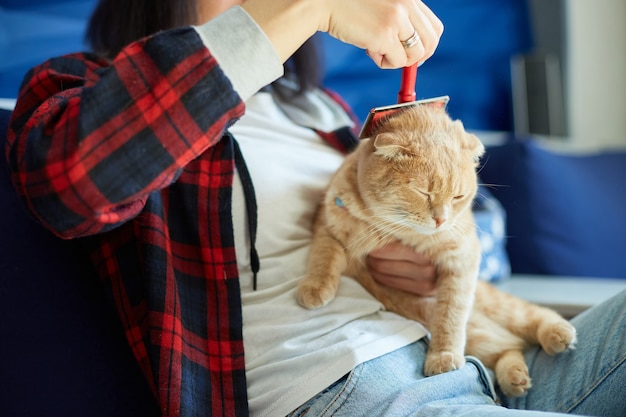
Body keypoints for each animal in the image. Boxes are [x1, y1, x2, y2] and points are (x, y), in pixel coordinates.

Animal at [298, 104, 576, 396]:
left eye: (458, 197)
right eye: (423, 192)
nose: (441, 220)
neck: (391, 228)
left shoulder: (461, 259)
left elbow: (450, 316)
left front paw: (443, 355)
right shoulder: (326, 224)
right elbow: (323, 255)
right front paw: (315, 288)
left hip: (497, 307)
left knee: (533, 317)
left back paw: (557, 334)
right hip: (480, 337)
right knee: (509, 347)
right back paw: (515, 379)